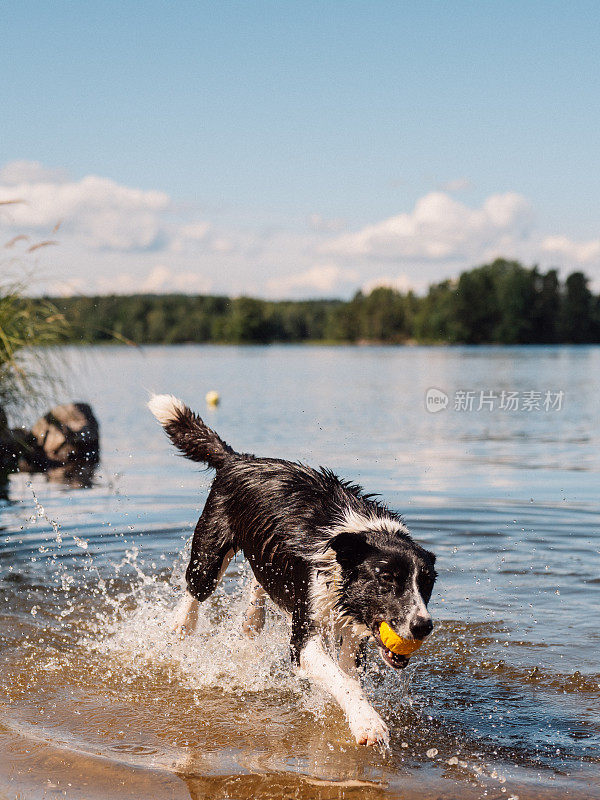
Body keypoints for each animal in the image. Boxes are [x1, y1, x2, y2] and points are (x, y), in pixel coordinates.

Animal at [147, 396, 434, 748]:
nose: (423, 626)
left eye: (426, 583)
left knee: (259, 582)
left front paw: (356, 714)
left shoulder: (353, 629)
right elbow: (341, 680)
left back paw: (252, 619)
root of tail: (239, 459)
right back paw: (181, 624)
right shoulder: (305, 635)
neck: (357, 542)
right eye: (387, 579)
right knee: (196, 587)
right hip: (210, 550)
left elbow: (349, 676)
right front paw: (368, 724)